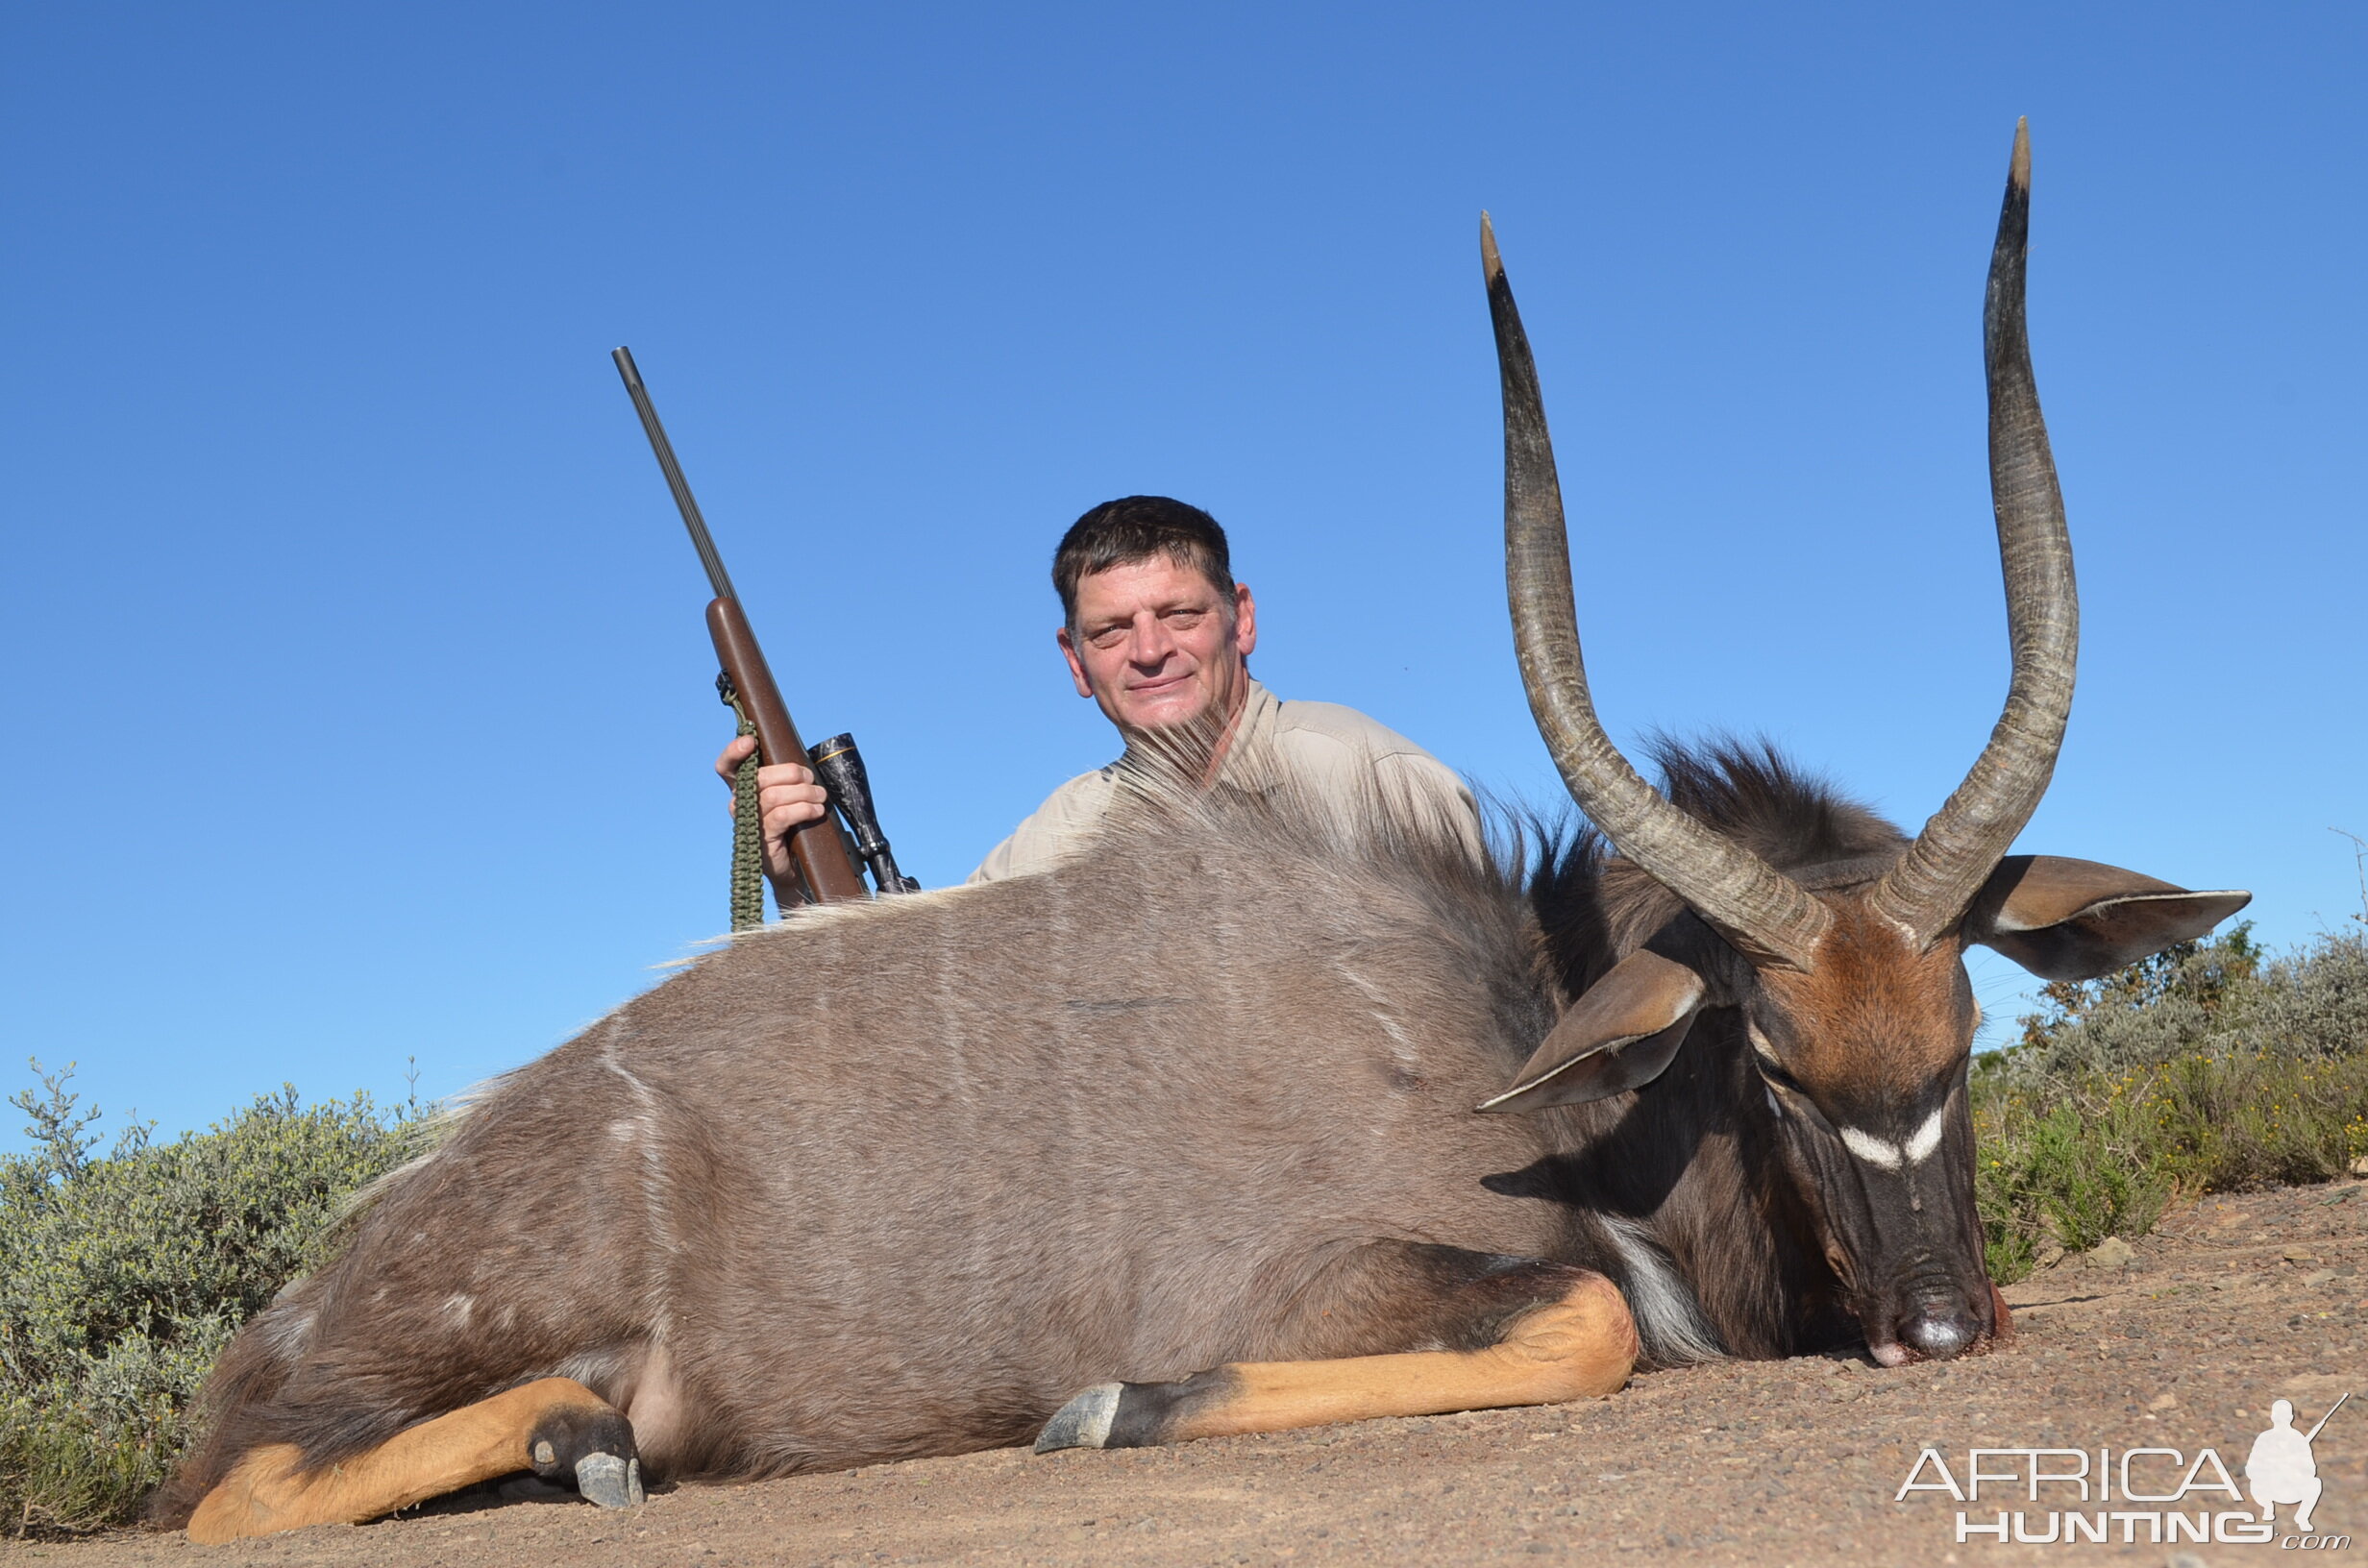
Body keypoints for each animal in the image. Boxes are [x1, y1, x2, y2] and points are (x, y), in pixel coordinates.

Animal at [161, 123, 2235, 1544]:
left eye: (1961, 1034)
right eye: (1775, 1061)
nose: (1941, 1332)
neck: (1510, 1044)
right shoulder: (1323, 1278)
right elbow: (1585, 1319)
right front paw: (1100, 1409)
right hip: (415, 1363)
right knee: (235, 1486)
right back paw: (573, 1439)